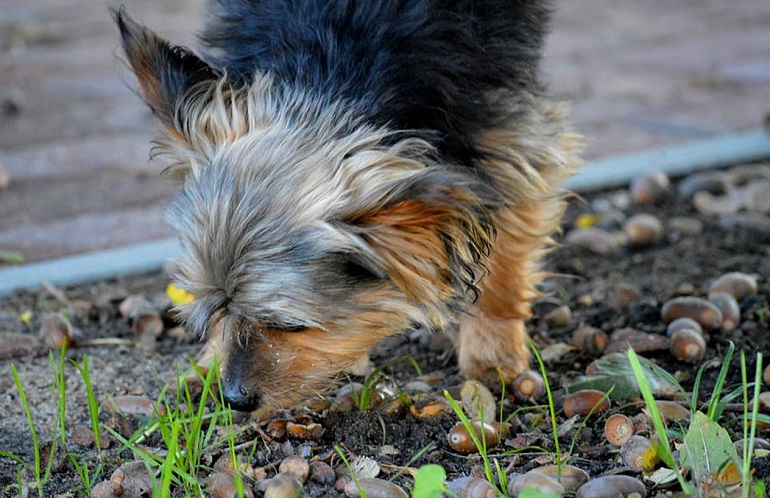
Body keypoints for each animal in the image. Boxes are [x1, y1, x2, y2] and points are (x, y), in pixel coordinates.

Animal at [112, 0, 576, 412]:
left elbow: (503, 260)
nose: (235, 400)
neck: (332, 71)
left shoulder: (506, 136)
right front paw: (210, 361)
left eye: (291, 325)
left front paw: (493, 352)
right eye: (215, 308)